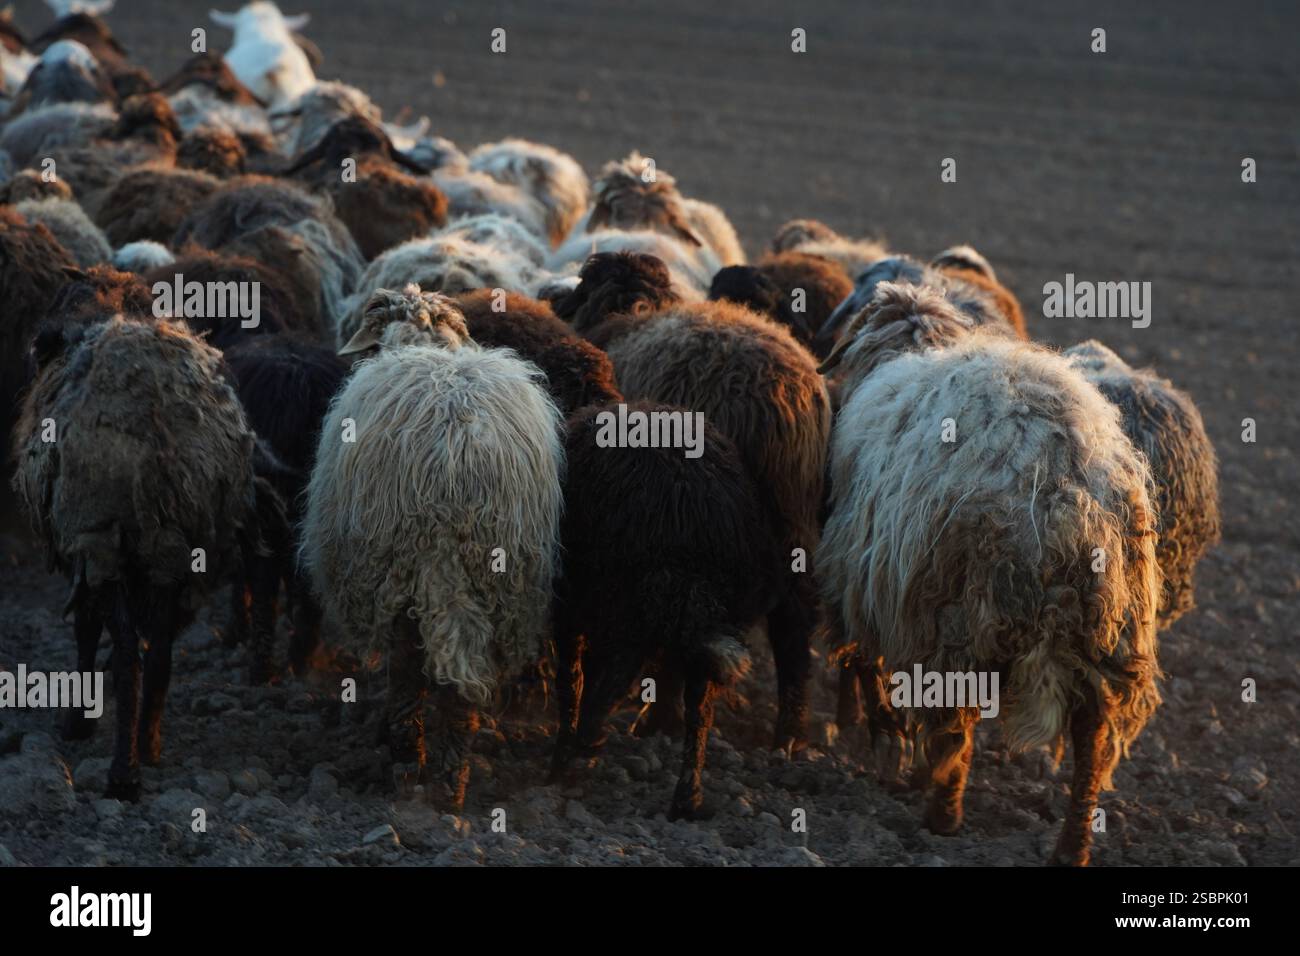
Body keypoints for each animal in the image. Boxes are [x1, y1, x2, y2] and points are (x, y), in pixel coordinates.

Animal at [10, 314, 267, 799]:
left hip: (105, 536)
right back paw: (148, 743)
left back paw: (122, 773)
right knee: (162, 650)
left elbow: (87, 631)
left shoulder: (85, 547)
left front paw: (78, 721)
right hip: (173, 546)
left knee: (130, 650)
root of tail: (156, 430)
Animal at [301, 285, 564, 805]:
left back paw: (407, 764)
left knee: (407, 665)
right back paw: (450, 778)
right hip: (499, 577)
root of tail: (452, 465)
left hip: (399, 563)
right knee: (465, 678)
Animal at [551, 400, 775, 818]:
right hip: (714, 611)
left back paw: (577, 753)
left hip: (623, 598)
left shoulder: (571, 605)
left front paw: (564, 749)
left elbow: (571, 677)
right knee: (700, 708)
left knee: (616, 676)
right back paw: (688, 798)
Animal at [561, 253, 831, 750]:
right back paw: (788, 737)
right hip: (794, 526)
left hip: (705, 529)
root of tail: (779, 401)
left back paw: (658, 720)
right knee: (794, 631)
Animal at [815, 282, 1161, 865]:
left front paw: (888, 742)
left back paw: (943, 811)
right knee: (1091, 736)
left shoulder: (864, 577)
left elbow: (865, 664)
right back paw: (1072, 844)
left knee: (957, 726)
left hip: (957, 607)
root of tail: (1064, 497)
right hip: (1108, 626)